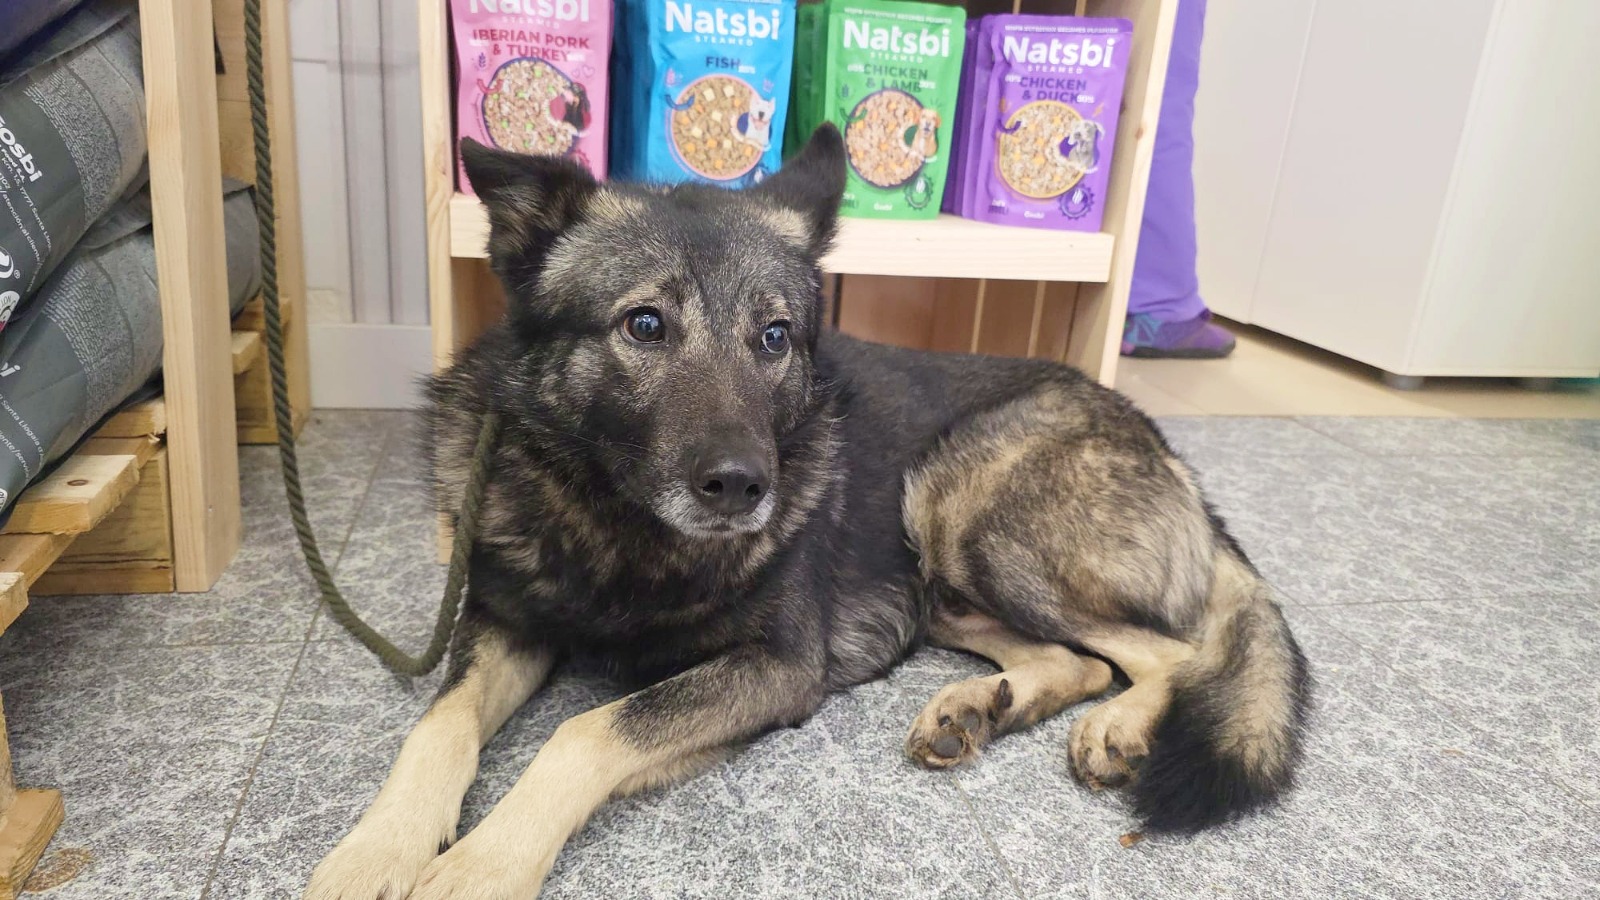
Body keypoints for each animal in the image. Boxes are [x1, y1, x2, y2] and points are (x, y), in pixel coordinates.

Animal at [305, 124, 1310, 900]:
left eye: (775, 337)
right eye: (643, 326)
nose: (744, 486)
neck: (620, 524)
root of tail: (1165, 450)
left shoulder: (777, 667)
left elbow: (586, 730)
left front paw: (481, 864)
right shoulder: (506, 624)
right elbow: (437, 728)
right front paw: (376, 850)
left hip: (958, 502)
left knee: (1173, 654)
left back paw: (1117, 726)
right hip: (939, 579)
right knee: (1079, 660)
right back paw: (977, 707)